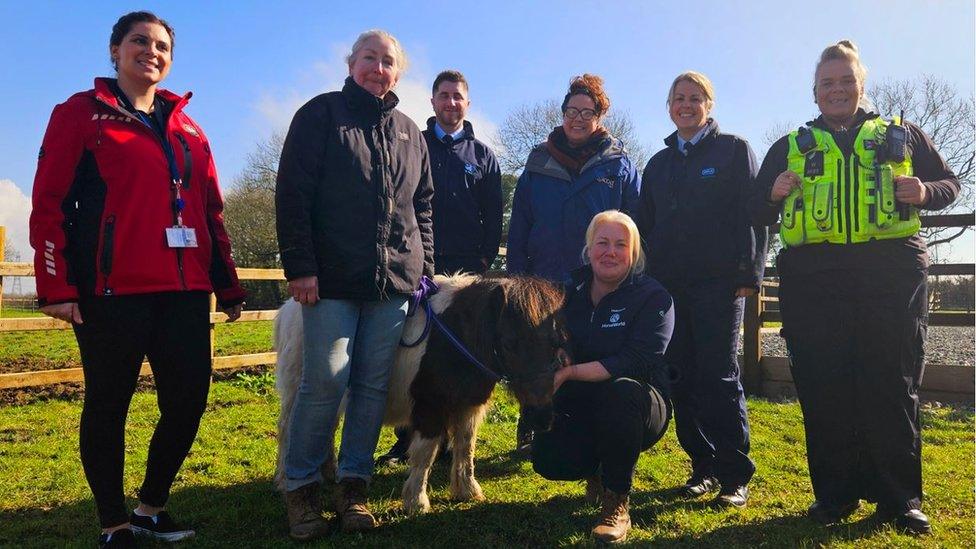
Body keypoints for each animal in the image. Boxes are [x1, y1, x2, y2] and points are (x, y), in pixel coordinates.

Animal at [272, 274, 572, 512]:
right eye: (509, 343)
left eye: (557, 341)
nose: (542, 418)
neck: (457, 337)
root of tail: (288, 309)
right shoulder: (430, 408)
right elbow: (426, 453)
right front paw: (416, 501)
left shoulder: (468, 406)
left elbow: (466, 447)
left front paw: (467, 490)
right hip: (298, 391)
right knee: (290, 430)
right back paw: (285, 481)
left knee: (326, 427)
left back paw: (331, 473)